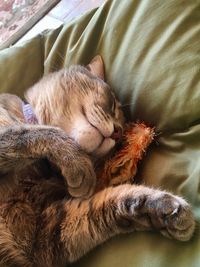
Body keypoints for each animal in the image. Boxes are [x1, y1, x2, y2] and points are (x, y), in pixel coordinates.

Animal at [0, 55, 195, 266]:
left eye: (121, 141)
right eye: (112, 106)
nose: (118, 132)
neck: (44, 171)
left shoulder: (46, 235)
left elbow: (111, 202)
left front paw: (164, 210)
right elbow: (33, 133)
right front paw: (77, 162)